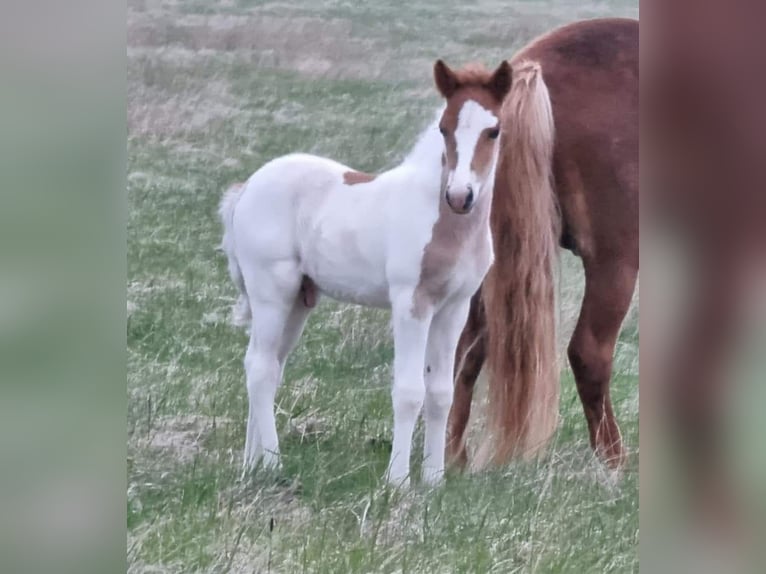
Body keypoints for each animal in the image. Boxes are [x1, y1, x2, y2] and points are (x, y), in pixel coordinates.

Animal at [219, 62, 512, 486]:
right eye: (444, 128)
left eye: (494, 130)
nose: (460, 196)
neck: (447, 225)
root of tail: (246, 189)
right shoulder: (411, 303)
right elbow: (409, 390)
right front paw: (398, 481)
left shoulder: (453, 308)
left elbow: (442, 392)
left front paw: (434, 480)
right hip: (272, 291)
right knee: (259, 368)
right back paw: (273, 464)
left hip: (299, 300)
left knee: (266, 364)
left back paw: (251, 463)